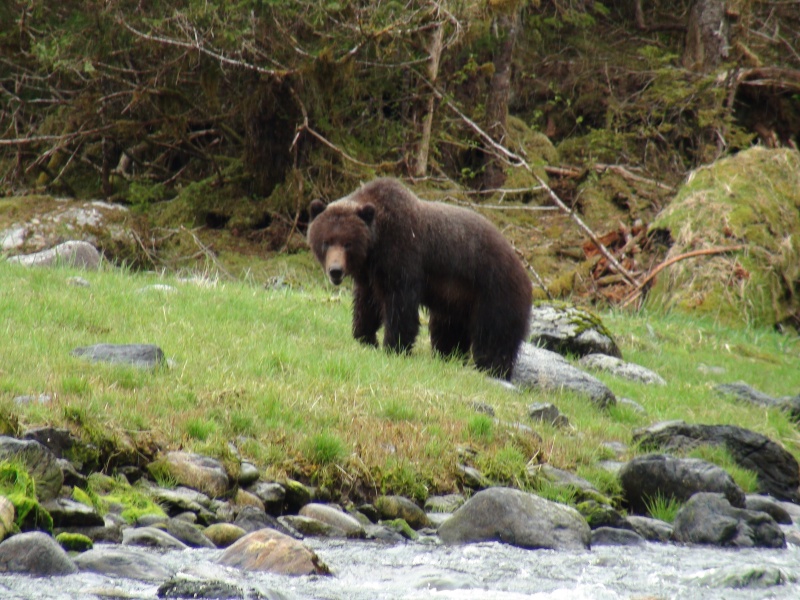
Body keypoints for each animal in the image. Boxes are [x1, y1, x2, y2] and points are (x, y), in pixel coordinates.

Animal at [307, 178, 532, 380]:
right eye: (326, 241)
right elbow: (367, 304)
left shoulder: (403, 256)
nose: (335, 271)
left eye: (348, 243)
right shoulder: (370, 276)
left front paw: (394, 346)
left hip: (494, 292)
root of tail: (524, 270)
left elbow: (401, 305)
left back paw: (493, 369)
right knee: (448, 330)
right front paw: (364, 337)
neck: (374, 247)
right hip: (457, 301)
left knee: (495, 336)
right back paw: (448, 356)